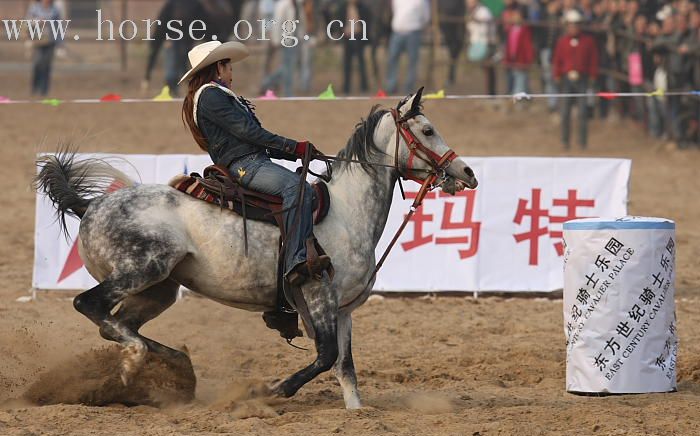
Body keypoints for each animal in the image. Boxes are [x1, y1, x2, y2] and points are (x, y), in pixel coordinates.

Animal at [37, 91, 476, 408]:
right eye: (427, 129)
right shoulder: (317, 292)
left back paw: (175, 366)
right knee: (90, 306)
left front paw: (356, 411)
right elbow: (325, 355)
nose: (467, 172)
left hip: (159, 289)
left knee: (118, 324)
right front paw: (270, 391)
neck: (346, 209)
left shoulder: (343, 308)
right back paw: (136, 362)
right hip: (142, 270)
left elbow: (345, 368)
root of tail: (90, 205)